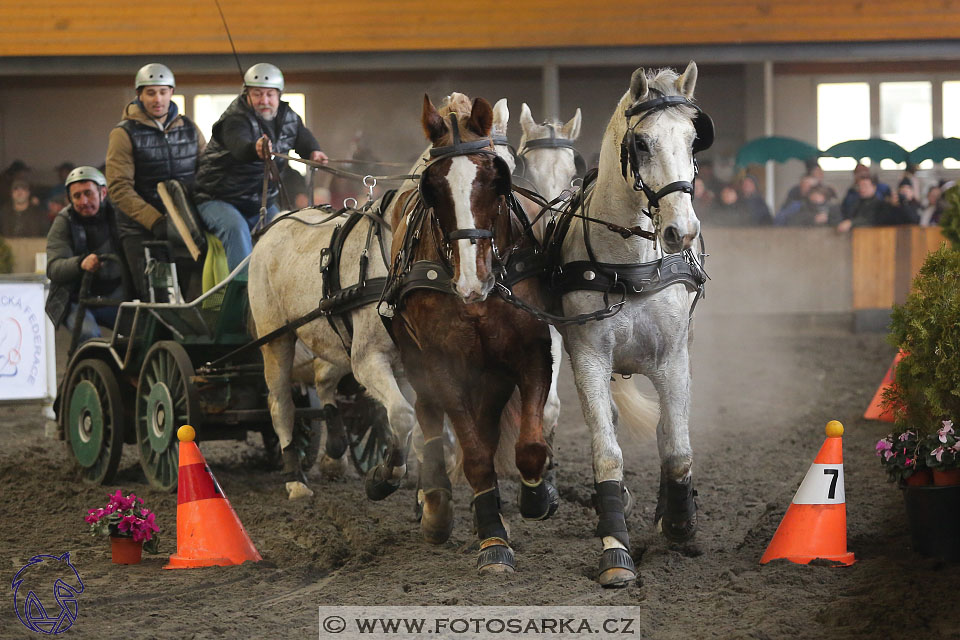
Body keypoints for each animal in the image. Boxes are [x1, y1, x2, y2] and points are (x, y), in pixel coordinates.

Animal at [386, 92, 560, 572]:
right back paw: (437, 506)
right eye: (433, 186)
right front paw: (493, 541)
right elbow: (477, 457)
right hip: (417, 358)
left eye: (497, 178)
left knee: (488, 422)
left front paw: (536, 497)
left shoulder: (530, 350)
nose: (471, 281)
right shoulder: (441, 362)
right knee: (428, 417)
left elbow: (529, 445)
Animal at [556, 62, 712, 588]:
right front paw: (615, 549)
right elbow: (607, 451)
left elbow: (677, 447)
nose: (681, 231)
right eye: (641, 143)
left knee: (669, 430)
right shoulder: (588, 357)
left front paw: (680, 523)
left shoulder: (674, 359)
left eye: (692, 140)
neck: (630, 265)